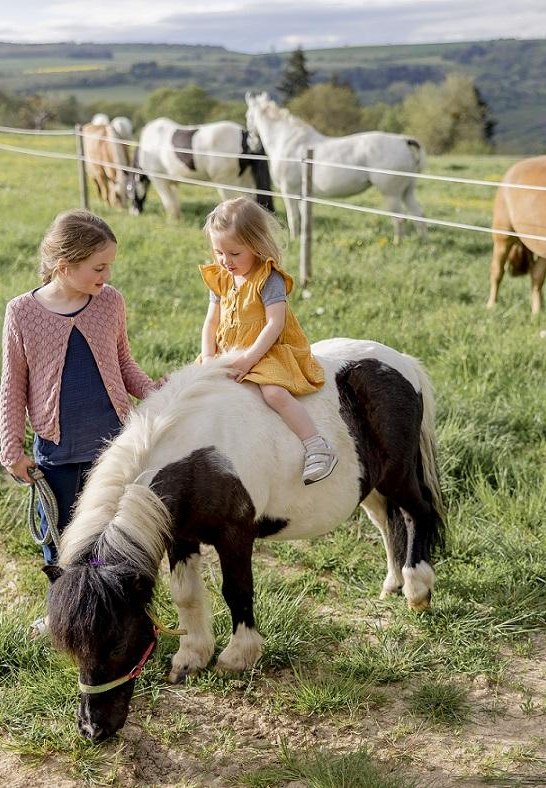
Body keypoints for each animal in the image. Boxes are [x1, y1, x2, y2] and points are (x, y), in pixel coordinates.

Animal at [44, 338, 444, 740]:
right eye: (70, 647)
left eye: (117, 642)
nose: (92, 729)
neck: (199, 457)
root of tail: (401, 362)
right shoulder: (179, 536)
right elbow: (186, 595)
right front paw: (191, 657)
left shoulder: (235, 536)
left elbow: (237, 592)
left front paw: (237, 657)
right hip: (372, 484)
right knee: (386, 521)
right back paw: (392, 584)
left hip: (398, 475)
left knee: (417, 514)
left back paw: (416, 590)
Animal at [126, 115, 272, 219]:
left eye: (129, 190)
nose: (133, 212)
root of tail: (245, 135)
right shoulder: (173, 181)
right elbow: (175, 200)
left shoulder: (159, 179)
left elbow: (168, 202)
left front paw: (173, 220)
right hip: (247, 180)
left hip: (227, 182)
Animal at [244, 92, 428, 242]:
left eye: (248, 115)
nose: (252, 144)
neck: (287, 140)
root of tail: (404, 141)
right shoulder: (303, 194)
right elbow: (304, 218)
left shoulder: (289, 191)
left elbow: (293, 217)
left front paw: (294, 240)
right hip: (407, 191)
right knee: (418, 216)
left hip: (392, 194)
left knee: (399, 219)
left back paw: (398, 243)